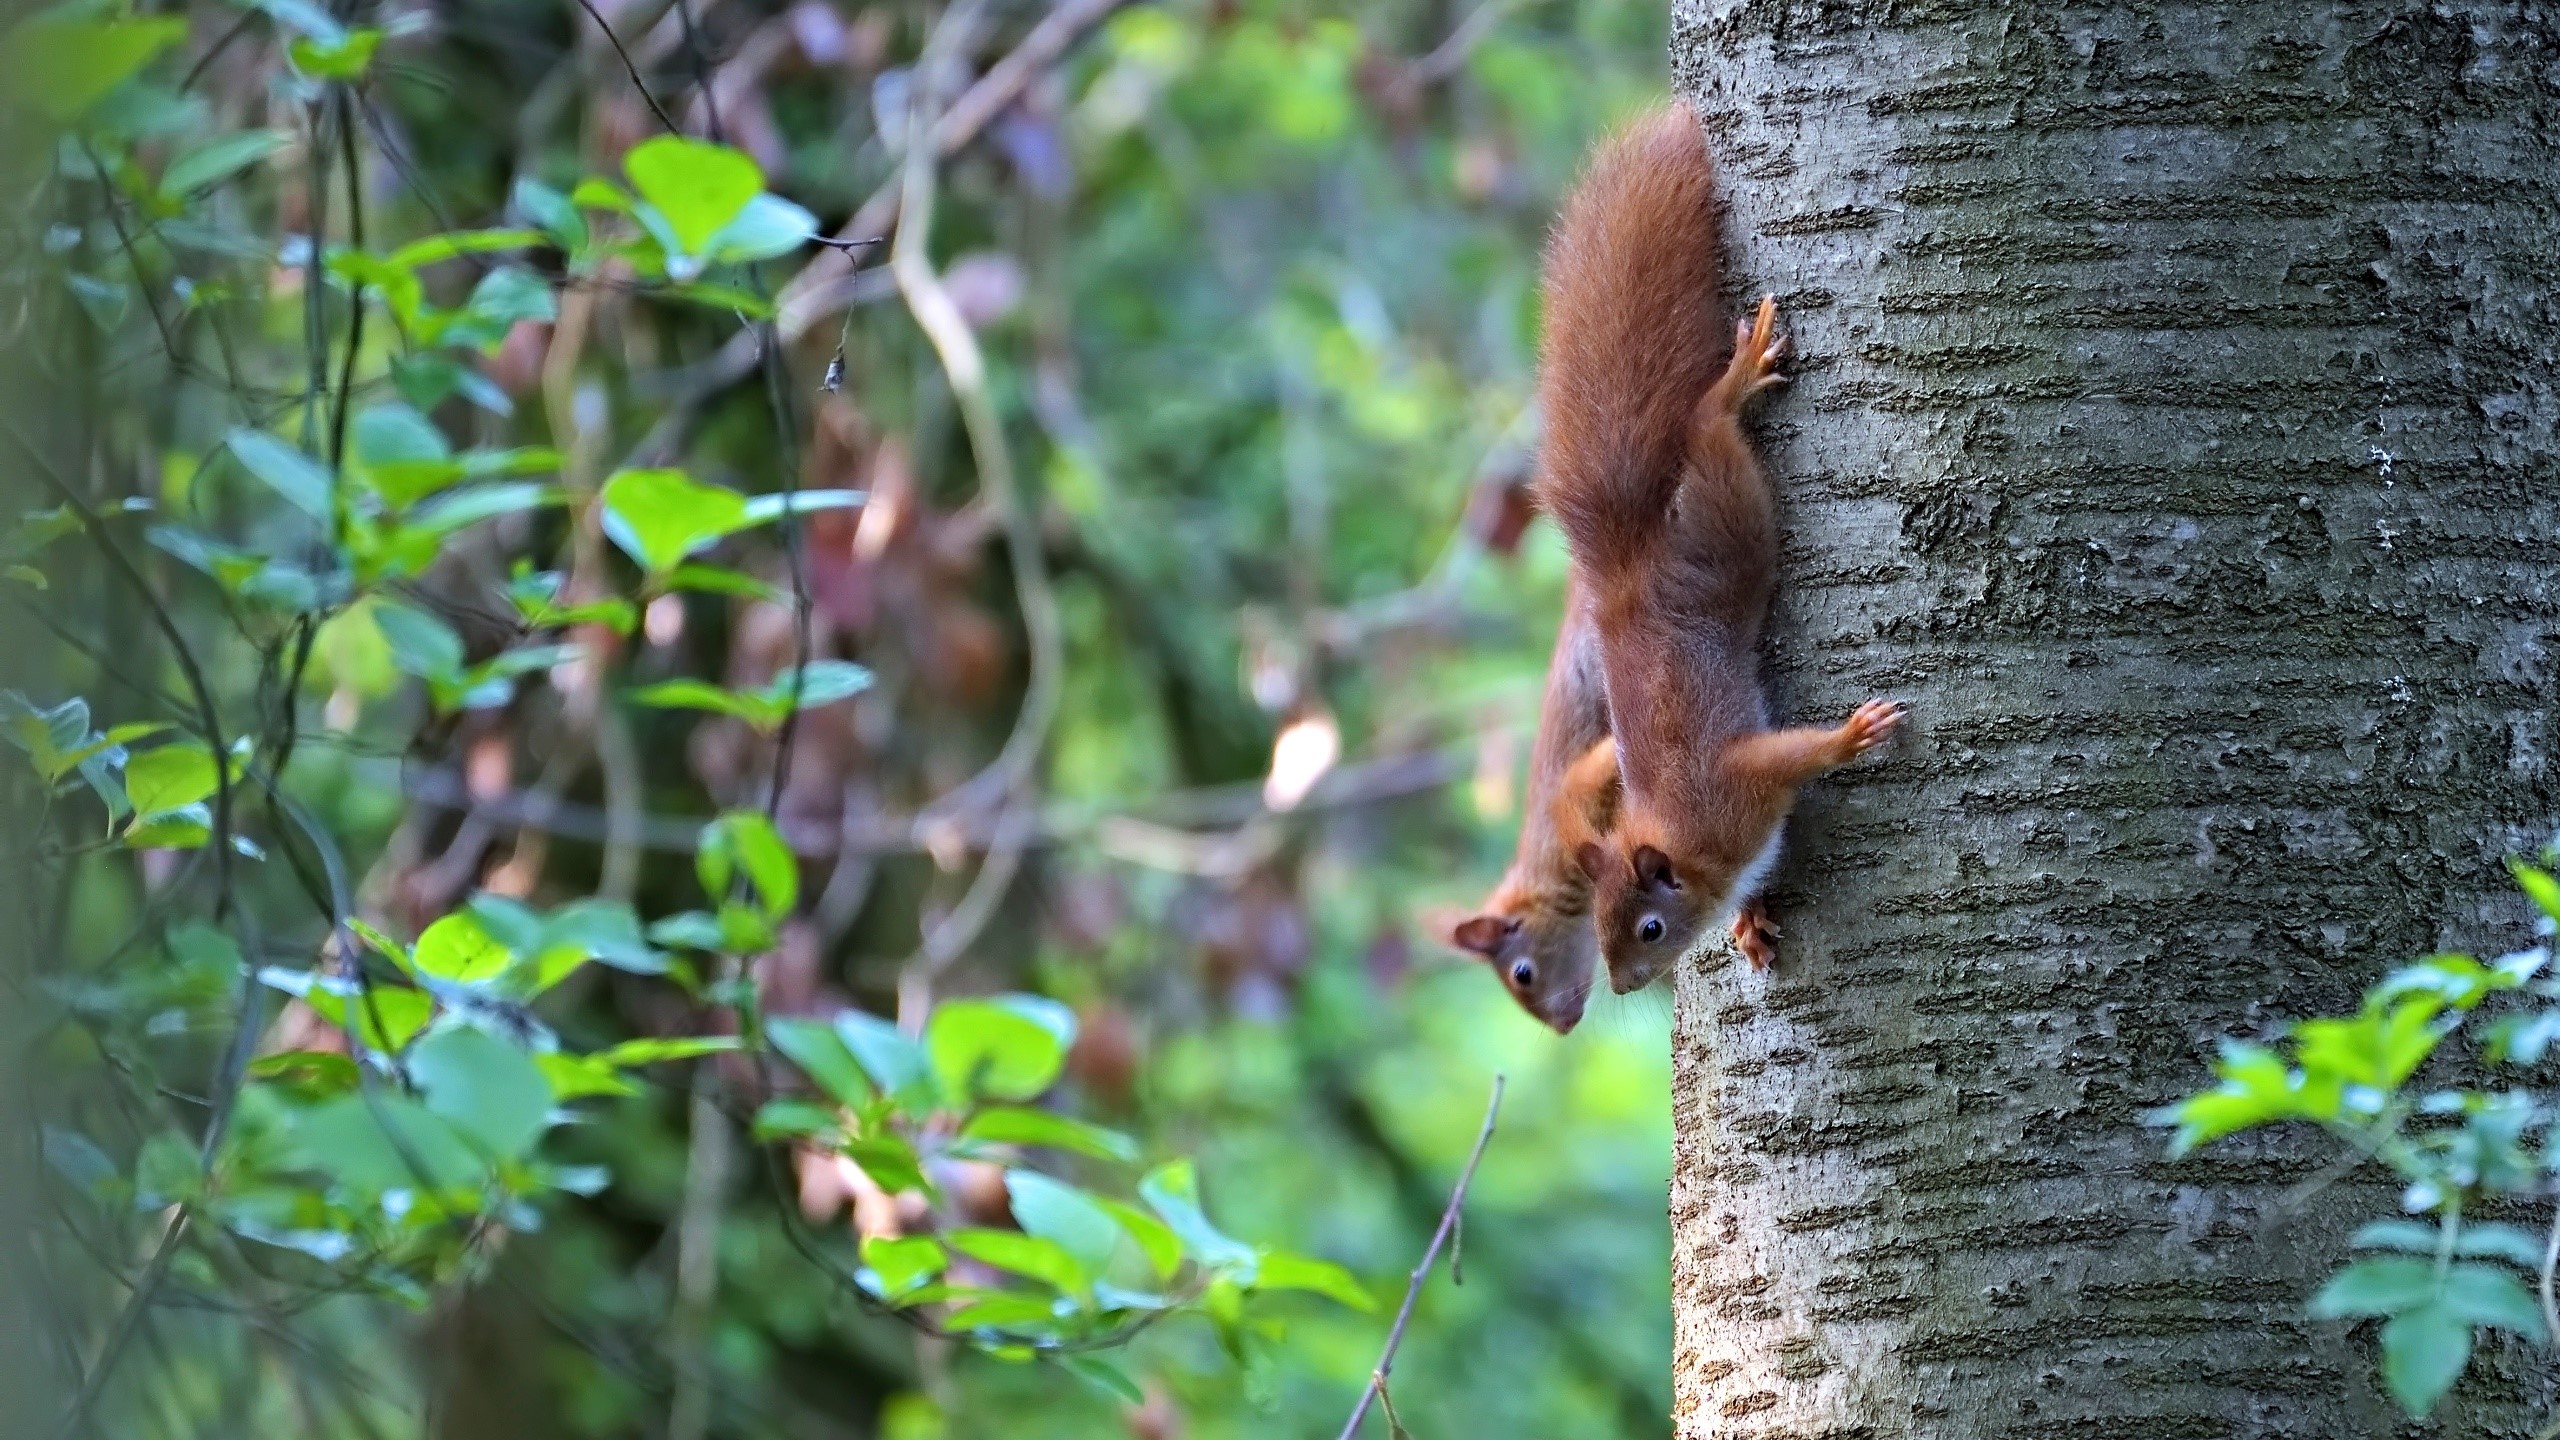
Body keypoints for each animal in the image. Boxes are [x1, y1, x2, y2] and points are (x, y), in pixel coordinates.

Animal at [1534, 102, 1904, 995]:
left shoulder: (1733, 787)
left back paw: (1732, 385)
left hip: (1723, 524)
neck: (1690, 846)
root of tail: (1625, 568)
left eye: (1650, 926)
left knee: (1706, 428)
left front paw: (1850, 736)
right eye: (1596, 926)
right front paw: (1748, 922)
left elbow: (1790, 757)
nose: (1624, 986)